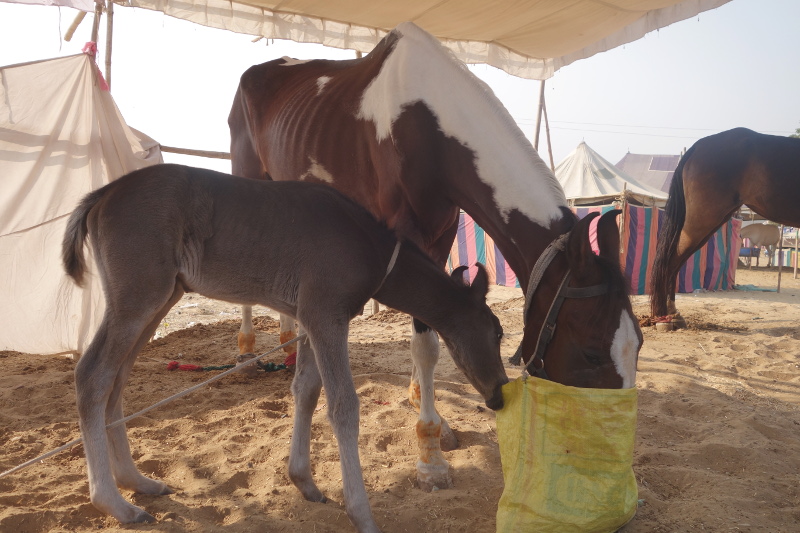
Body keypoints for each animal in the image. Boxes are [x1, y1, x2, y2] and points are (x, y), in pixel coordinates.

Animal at [62, 164, 506, 528]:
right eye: (498, 331)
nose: (499, 393)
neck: (371, 247)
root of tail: (103, 194)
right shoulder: (326, 314)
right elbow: (343, 405)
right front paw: (361, 514)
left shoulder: (309, 318)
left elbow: (306, 390)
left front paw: (304, 481)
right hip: (139, 295)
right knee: (92, 374)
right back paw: (114, 503)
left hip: (160, 297)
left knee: (116, 379)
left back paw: (137, 482)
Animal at [230, 22, 644, 490]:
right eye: (592, 352)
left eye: (638, 343)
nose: (610, 456)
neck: (425, 122)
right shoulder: (405, 235)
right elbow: (426, 344)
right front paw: (429, 455)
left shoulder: (441, 232)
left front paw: (428, 414)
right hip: (247, 178)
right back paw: (245, 352)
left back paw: (288, 343)